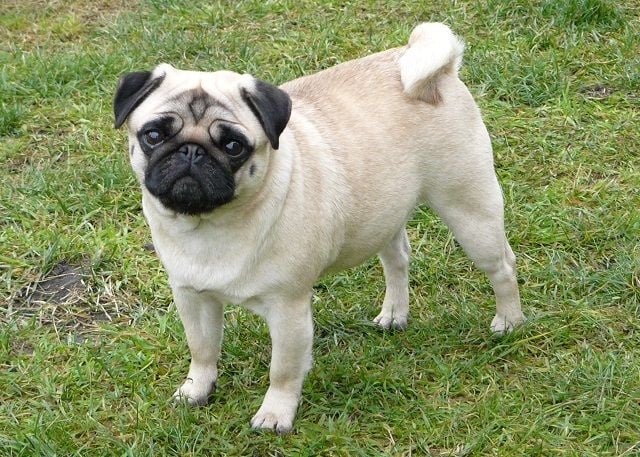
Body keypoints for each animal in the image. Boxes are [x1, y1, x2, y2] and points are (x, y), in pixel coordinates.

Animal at [113, 22, 525, 433]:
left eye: (233, 146)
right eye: (153, 135)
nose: (191, 152)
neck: (212, 223)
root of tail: (435, 71)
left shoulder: (288, 309)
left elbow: (283, 370)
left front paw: (275, 415)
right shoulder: (192, 297)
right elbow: (201, 350)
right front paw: (196, 390)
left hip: (469, 210)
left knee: (502, 266)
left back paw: (509, 322)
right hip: (384, 214)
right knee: (398, 260)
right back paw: (395, 314)